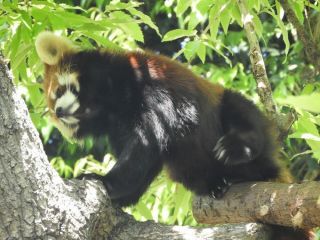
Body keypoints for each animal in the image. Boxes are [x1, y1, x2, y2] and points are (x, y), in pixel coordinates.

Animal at [35, 31, 284, 206]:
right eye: (52, 111)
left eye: (58, 91)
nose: (59, 112)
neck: (110, 104)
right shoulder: (117, 128)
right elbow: (146, 160)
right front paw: (123, 196)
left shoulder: (151, 85)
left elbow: (144, 144)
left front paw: (104, 181)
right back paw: (216, 183)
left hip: (223, 106)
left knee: (240, 111)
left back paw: (236, 149)